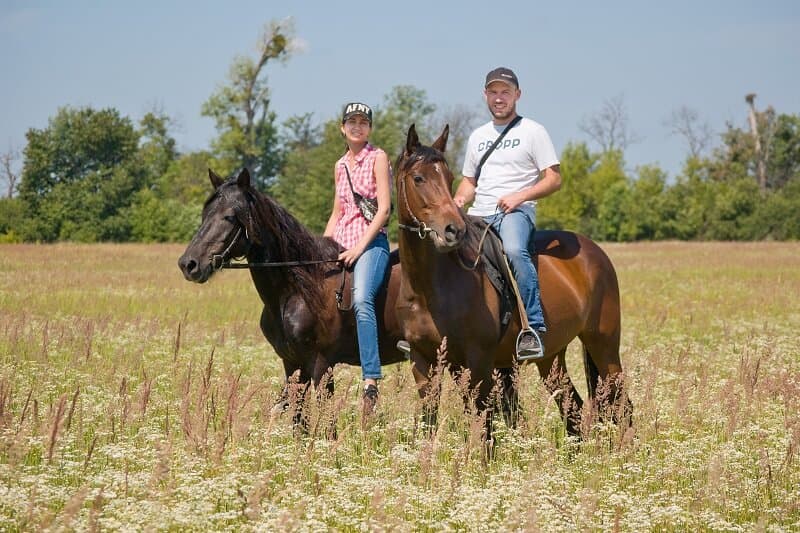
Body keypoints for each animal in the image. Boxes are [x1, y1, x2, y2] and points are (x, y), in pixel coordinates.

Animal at [178, 168, 407, 432]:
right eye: (205, 214)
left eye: (230, 216)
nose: (188, 264)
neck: (297, 292)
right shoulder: (293, 364)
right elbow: (299, 423)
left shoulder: (321, 365)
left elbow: (328, 426)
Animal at [394, 124, 632, 444]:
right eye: (418, 178)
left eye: (448, 177)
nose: (453, 230)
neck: (431, 287)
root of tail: (595, 252)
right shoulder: (424, 363)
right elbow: (429, 424)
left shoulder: (478, 362)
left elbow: (484, 429)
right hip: (552, 358)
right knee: (573, 407)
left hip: (603, 344)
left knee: (622, 406)